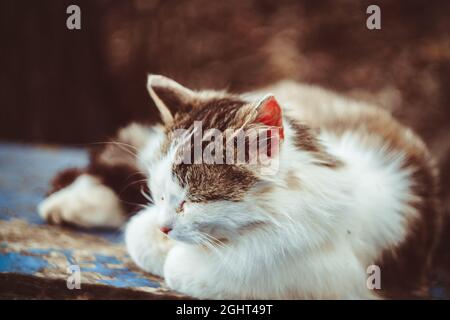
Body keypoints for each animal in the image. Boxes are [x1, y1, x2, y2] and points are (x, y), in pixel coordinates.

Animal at [37, 74, 442, 298]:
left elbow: (198, 267)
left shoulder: (341, 274)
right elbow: (140, 231)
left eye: (191, 201)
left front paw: (175, 254)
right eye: (160, 193)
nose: (165, 228)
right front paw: (158, 239)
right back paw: (72, 202)